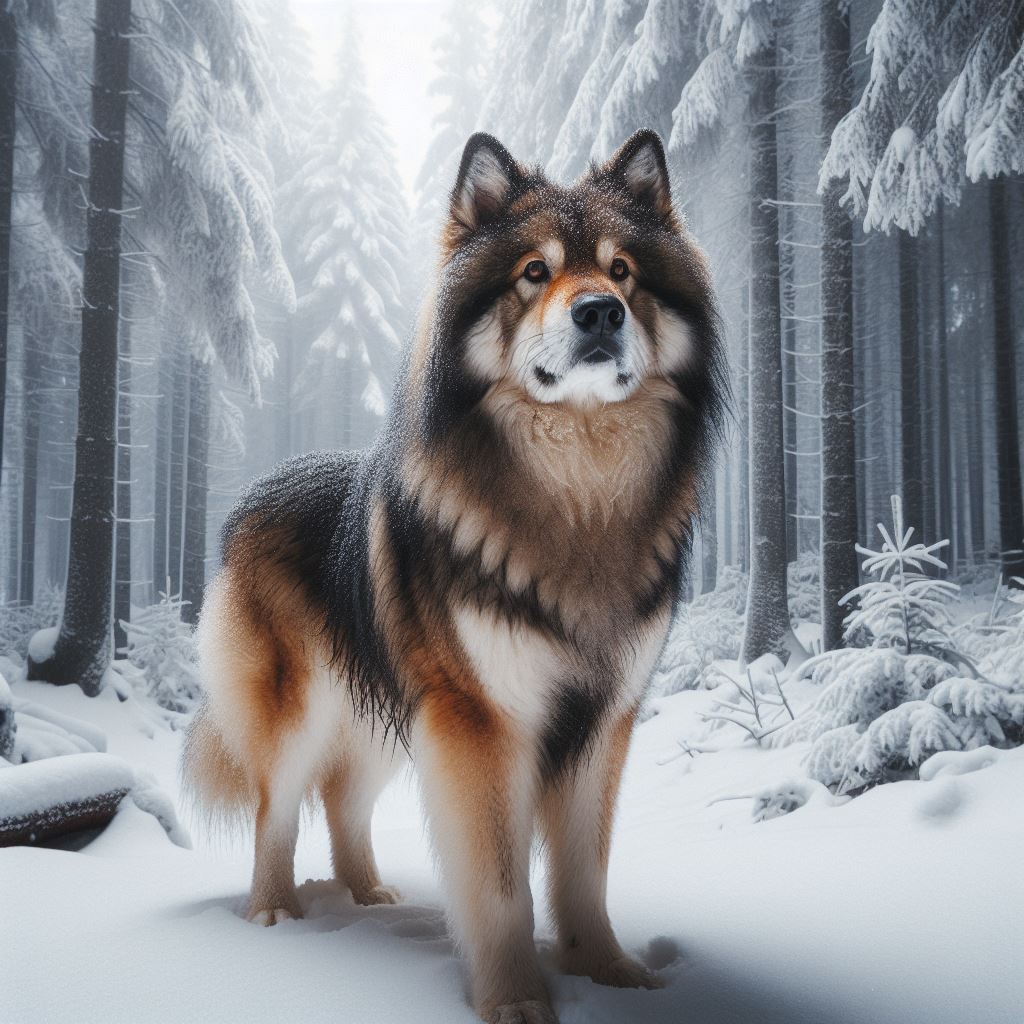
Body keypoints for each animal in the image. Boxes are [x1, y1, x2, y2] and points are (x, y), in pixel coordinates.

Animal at [184, 128, 724, 1024]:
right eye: (534, 273)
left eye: (622, 272)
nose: (598, 312)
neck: (578, 501)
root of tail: (255, 493)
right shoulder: (481, 724)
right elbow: (501, 887)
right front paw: (514, 999)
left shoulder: (602, 722)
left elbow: (584, 876)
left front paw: (609, 972)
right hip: (306, 711)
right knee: (277, 809)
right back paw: (273, 915)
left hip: (383, 716)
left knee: (343, 800)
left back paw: (368, 896)